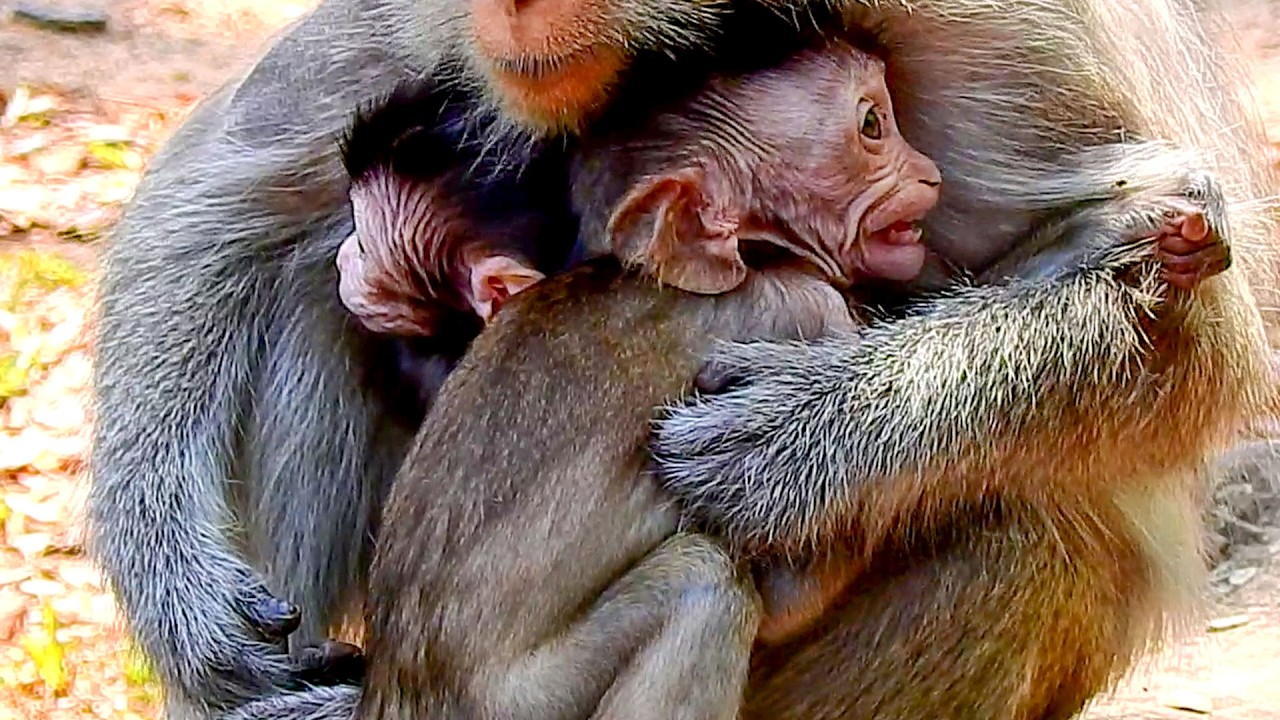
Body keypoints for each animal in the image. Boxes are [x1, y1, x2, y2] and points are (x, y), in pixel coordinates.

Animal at [86, 0, 1278, 716]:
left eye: (876, 123)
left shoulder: (1003, 34)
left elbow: (1211, 352)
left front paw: (796, 443)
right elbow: (236, 173)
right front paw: (186, 599)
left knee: (1028, 534)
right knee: (309, 280)